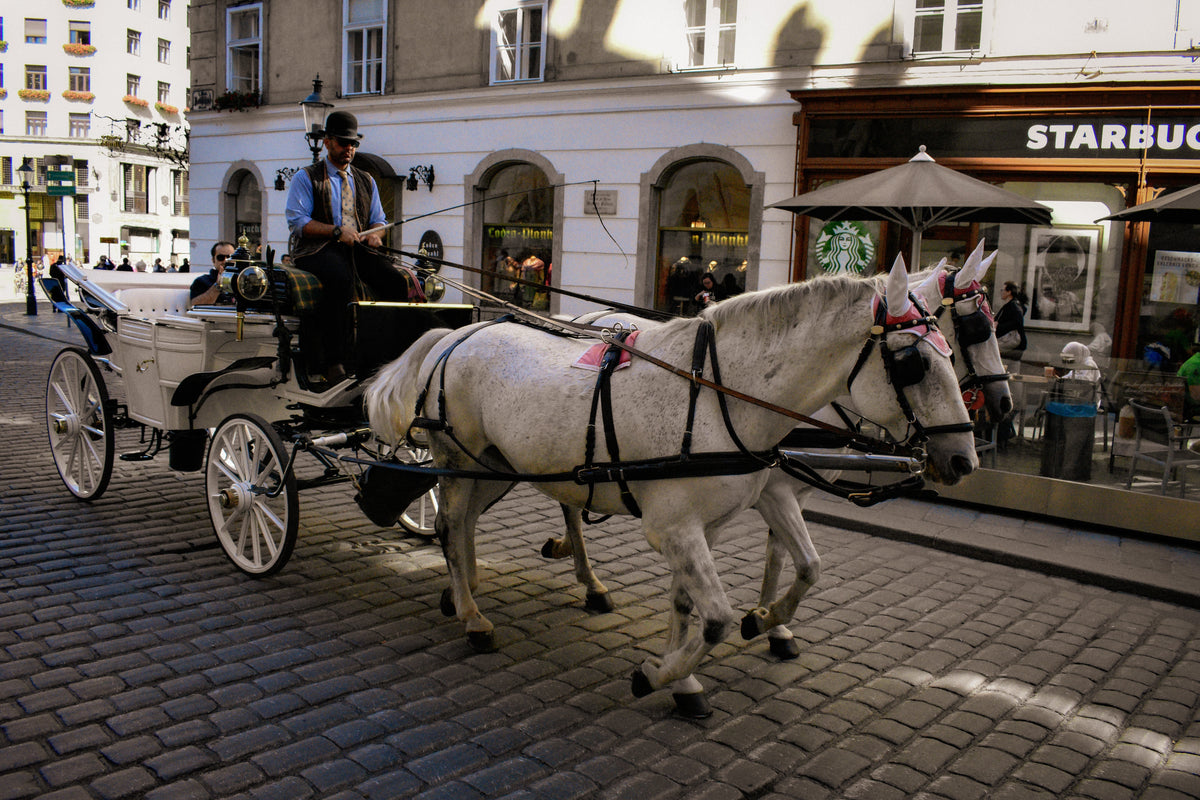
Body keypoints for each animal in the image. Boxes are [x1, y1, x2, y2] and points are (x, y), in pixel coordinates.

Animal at [367, 255, 978, 716]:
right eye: (913, 362)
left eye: (951, 350)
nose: (964, 459)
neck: (718, 397)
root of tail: (462, 331)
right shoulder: (674, 527)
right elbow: (718, 618)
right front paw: (658, 674)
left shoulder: (717, 520)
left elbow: (708, 598)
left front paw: (694, 671)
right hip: (455, 457)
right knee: (451, 525)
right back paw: (473, 615)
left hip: (495, 464)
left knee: (466, 524)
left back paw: (467, 591)